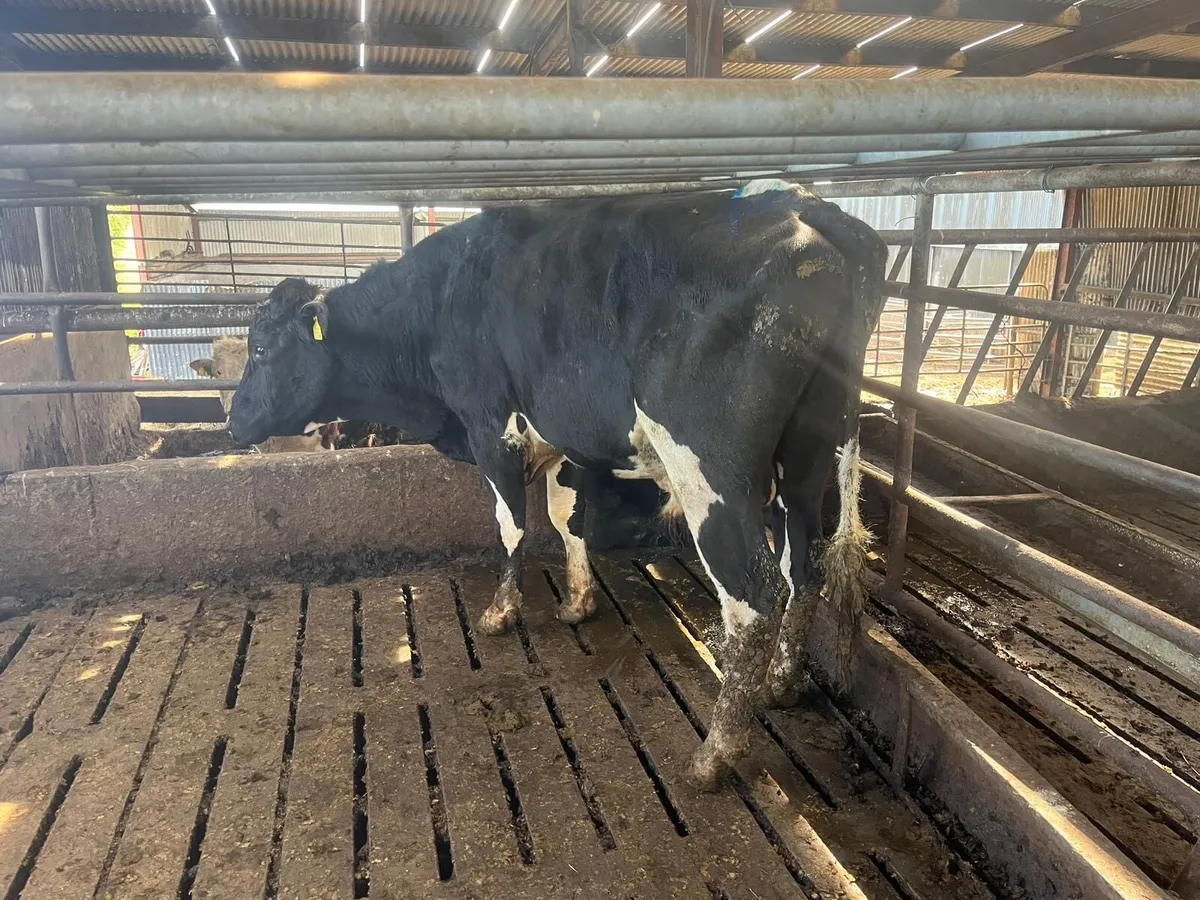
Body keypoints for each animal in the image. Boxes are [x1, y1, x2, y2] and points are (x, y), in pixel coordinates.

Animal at [227, 183, 887, 789]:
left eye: (259, 349)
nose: (233, 421)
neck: (437, 306)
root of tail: (804, 206)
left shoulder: (492, 427)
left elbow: (511, 524)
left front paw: (500, 612)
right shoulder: (560, 441)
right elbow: (567, 517)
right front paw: (577, 601)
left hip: (713, 469)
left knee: (755, 596)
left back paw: (715, 753)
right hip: (806, 458)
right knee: (804, 567)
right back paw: (781, 683)